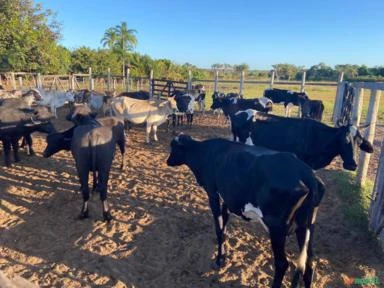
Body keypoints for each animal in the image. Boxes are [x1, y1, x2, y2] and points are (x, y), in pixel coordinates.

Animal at [166, 135, 320, 288]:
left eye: (173, 148)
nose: (167, 161)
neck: (203, 153)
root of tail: (307, 174)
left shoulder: (213, 194)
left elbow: (218, 229)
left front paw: (218, 260)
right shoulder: (227, 199)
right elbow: (224, 229)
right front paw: (223, 256)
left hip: (277, 229)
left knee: (282, 264)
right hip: (306, 227)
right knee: (309, 264)